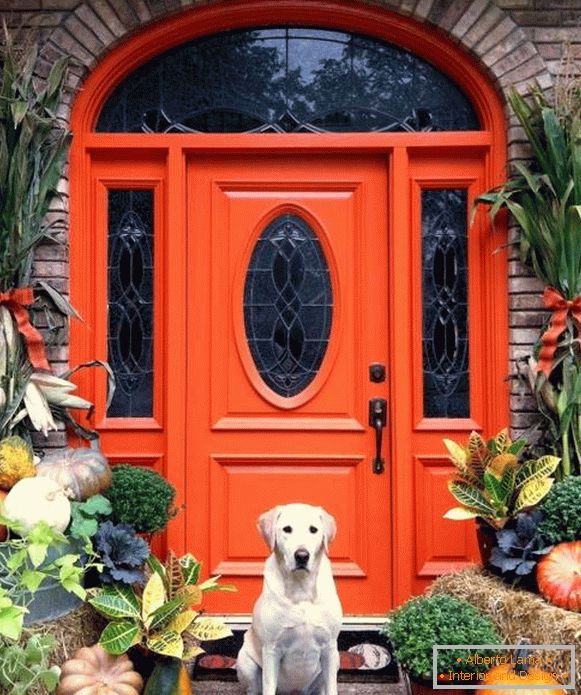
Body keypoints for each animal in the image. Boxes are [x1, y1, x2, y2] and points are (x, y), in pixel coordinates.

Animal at [237, 506, 342, 695]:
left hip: (336, 660)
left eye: (313, 530)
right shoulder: (271, 649)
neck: (301, 589)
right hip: (245, 661)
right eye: (287, 529)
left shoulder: (330, 647)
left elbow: (331, 687)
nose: (302, 556)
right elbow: (269, 687)